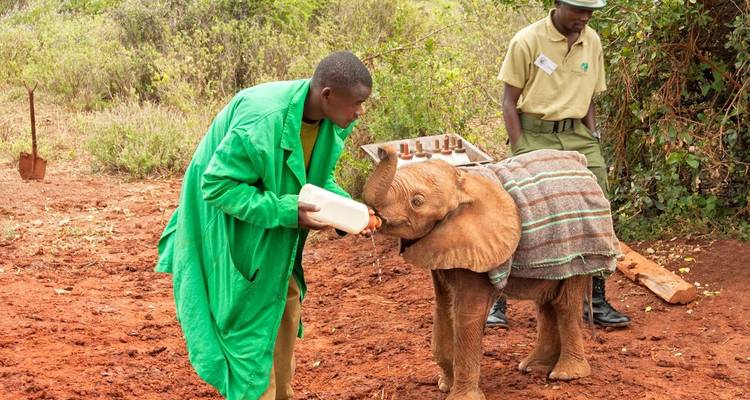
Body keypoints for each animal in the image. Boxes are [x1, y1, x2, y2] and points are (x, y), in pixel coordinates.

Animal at [362, 145, 620, 400]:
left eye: (417, 201)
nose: (384, 148)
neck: (462, 184)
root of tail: (583, 165)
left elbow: (467, 314)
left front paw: (460, 398)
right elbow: (443, 308)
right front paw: (444, 386)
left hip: (582, 247)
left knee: (564, 303)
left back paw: (565, 375)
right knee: (546, 302)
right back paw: (534, 368)